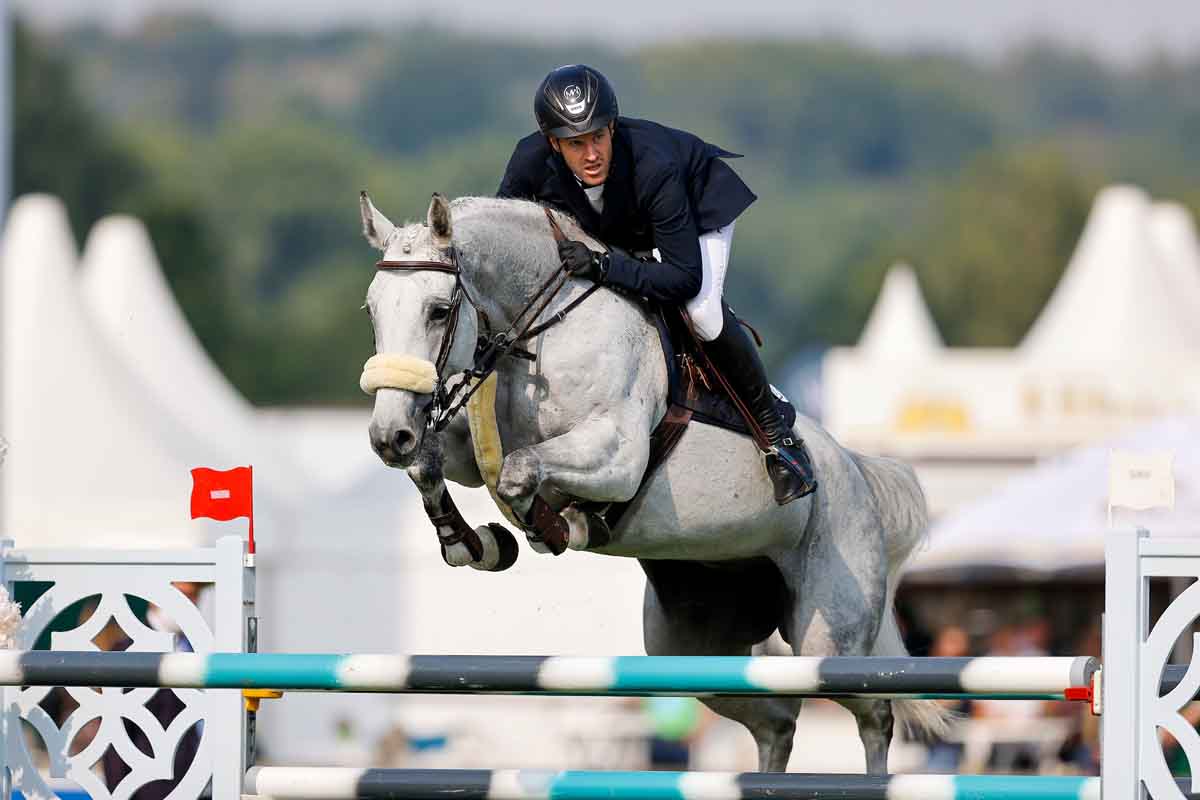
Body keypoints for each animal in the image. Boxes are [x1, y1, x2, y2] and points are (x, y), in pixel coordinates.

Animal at [355, 190, 945, 772]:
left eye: (438, 311)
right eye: (373, 309)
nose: (388, 435)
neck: (543, 336)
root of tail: (856, 471)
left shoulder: (617, 455)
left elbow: (522, 472)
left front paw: (559, 527)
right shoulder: (468, 454)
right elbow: (432, 466)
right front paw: (472, 543)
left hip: (828, 637)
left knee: (875, 713)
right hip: (692, 649)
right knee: (777, 722)